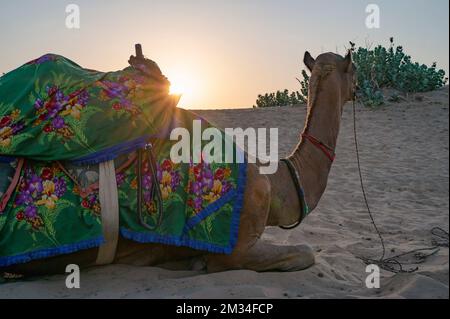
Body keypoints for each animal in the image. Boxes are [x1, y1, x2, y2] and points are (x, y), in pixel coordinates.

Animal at [2, 49, 356, 276]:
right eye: (353, 71)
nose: (361, 84)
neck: (275, 182)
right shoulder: (237, 246)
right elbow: (305, 253)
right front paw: (199, 263)